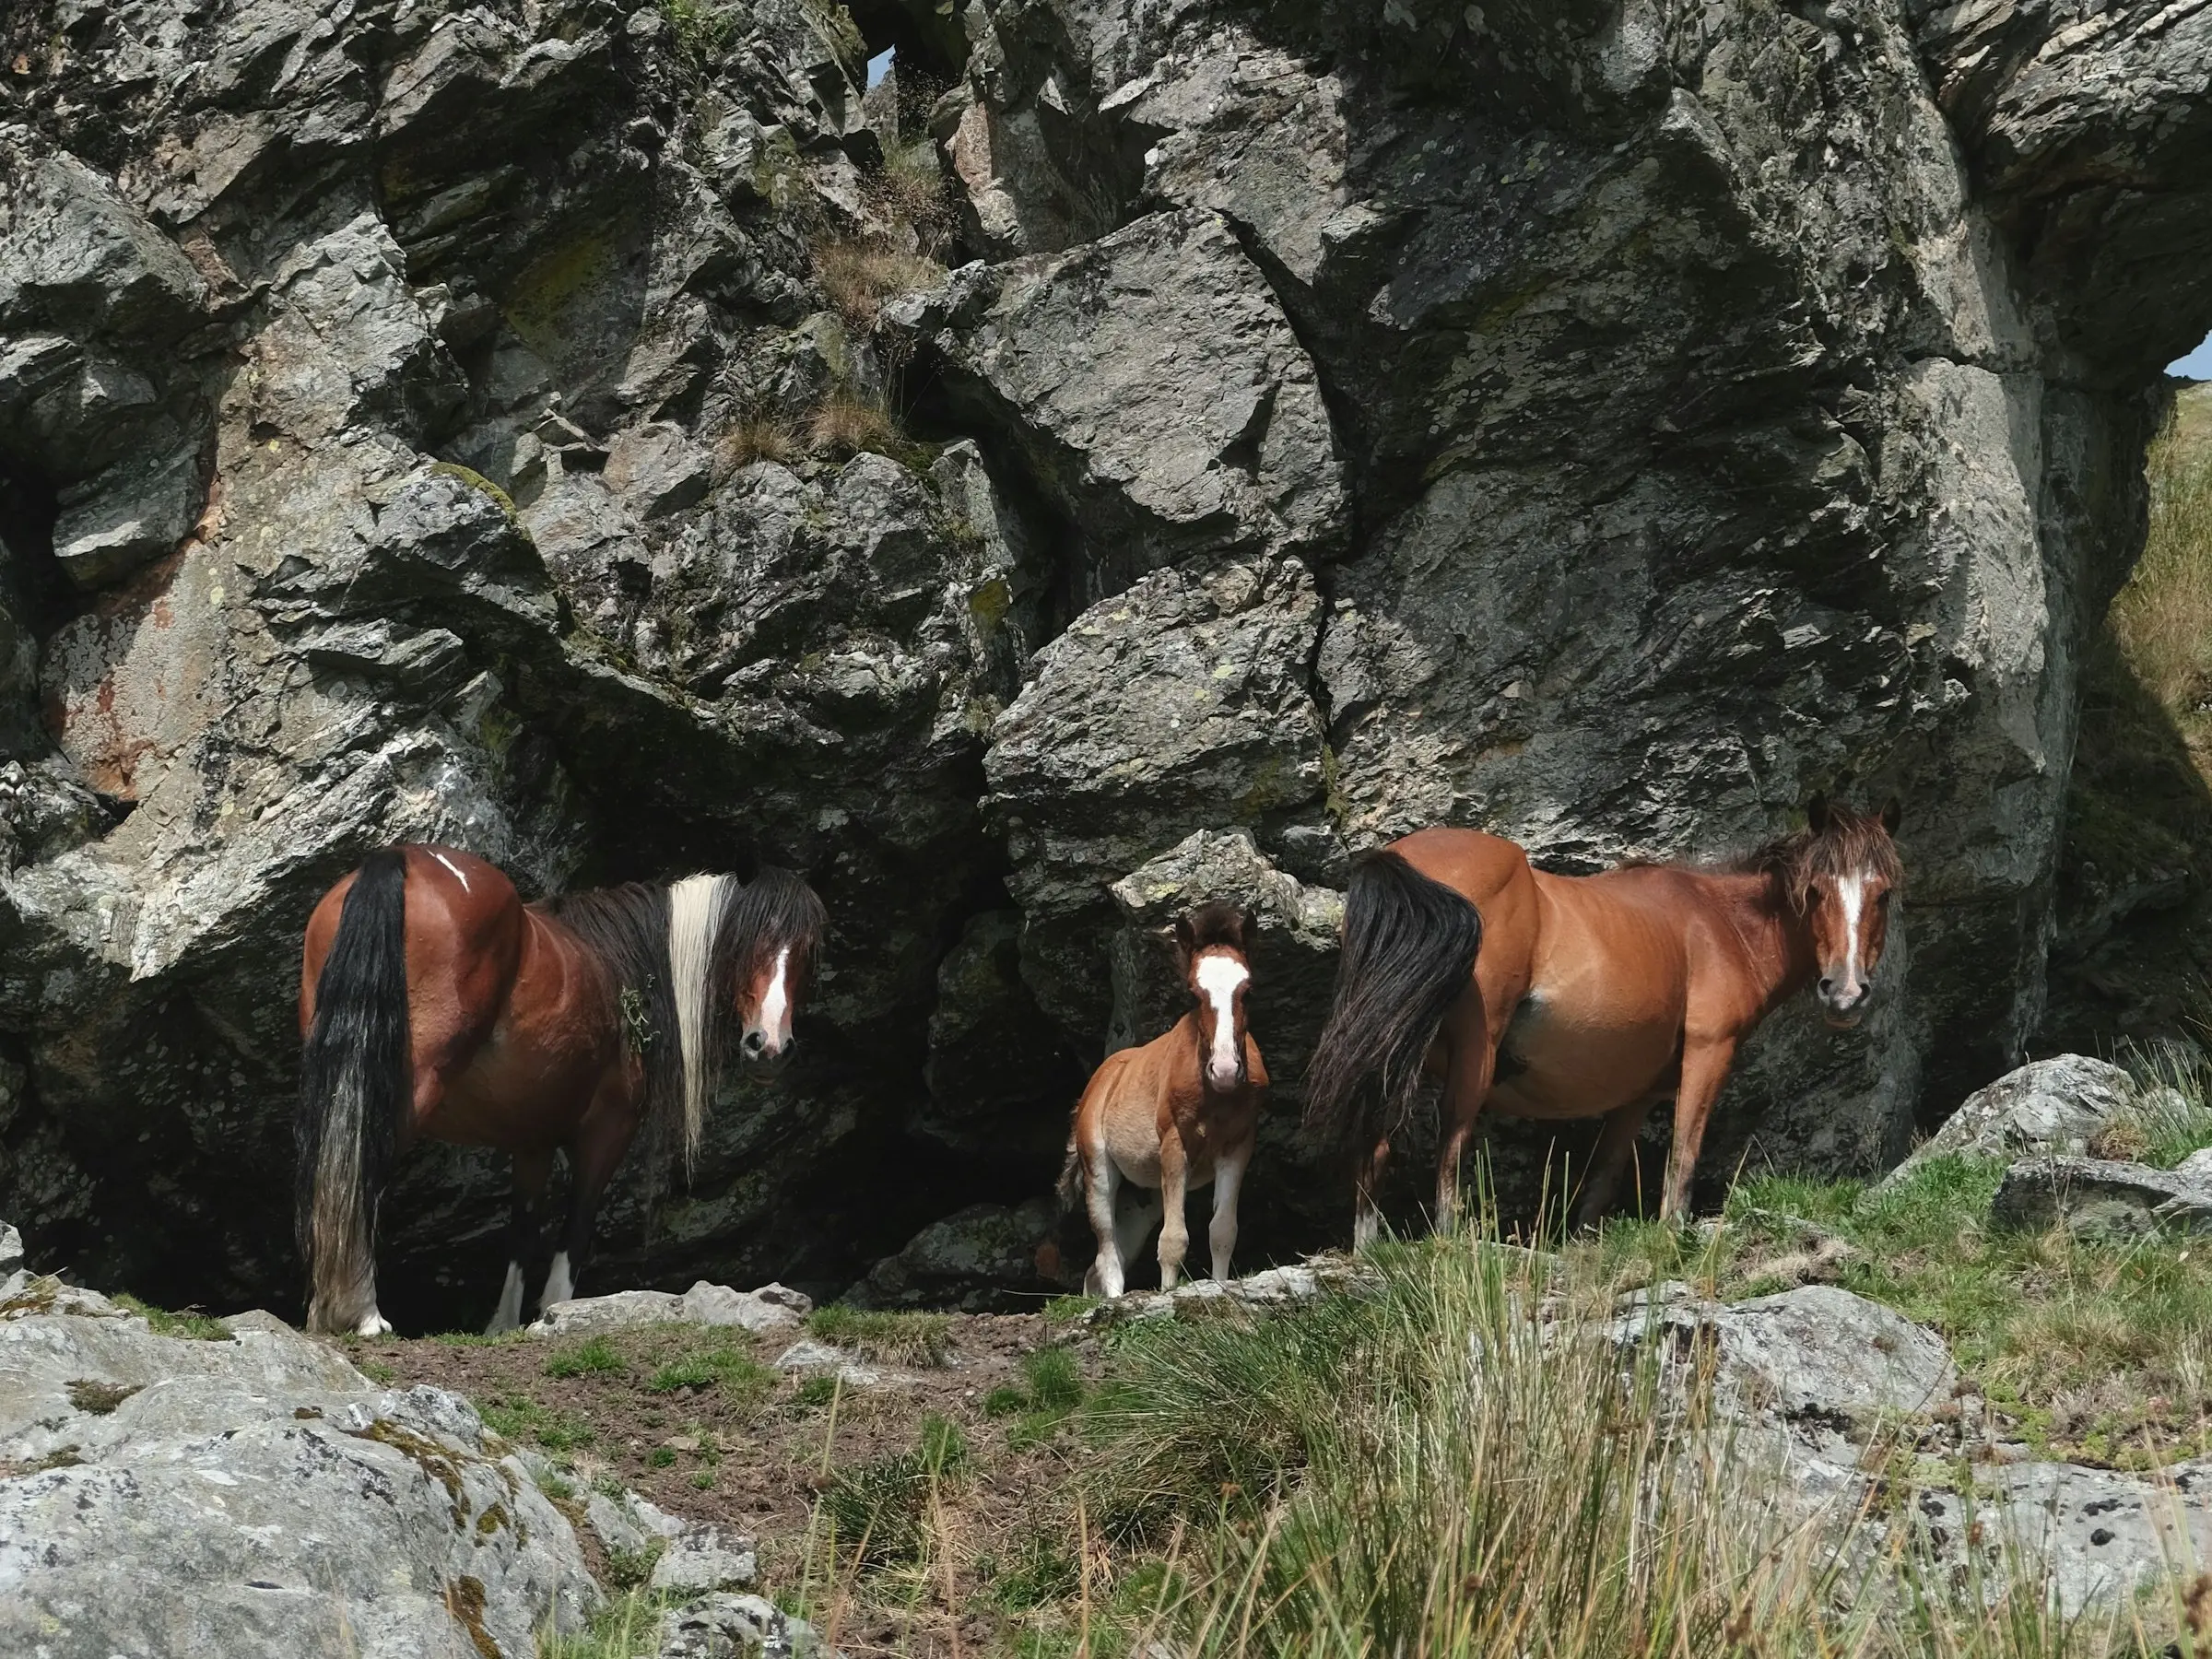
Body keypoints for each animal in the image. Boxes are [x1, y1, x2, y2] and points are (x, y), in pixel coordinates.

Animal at [289, 849, 818, 1345]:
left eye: (809, 952)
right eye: (750, 936)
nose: (770, 1046)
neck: (621, 968)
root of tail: (404, 859)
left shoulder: (533, 1142)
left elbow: (523, 1232)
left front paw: (502, 1325)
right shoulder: (608, 1130)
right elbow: (577, 1225)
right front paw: (554, 1313)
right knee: (360, 1167)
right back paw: (363, 1312)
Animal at [1062, 911, 1274, 1300]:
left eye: (1247, 991)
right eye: (1194, 993)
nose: (1225, 1070)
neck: (1215, 1096)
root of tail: (1100, 1081)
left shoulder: (1237, 1147)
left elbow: (1222, 1230)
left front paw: (1219, 1289)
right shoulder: (1175, 1145)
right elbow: (1174, 1240)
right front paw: (1169, 1296)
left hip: (1146, 1197)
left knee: (1102, 1263)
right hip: (1098, 1169)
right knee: (1107, 1250)